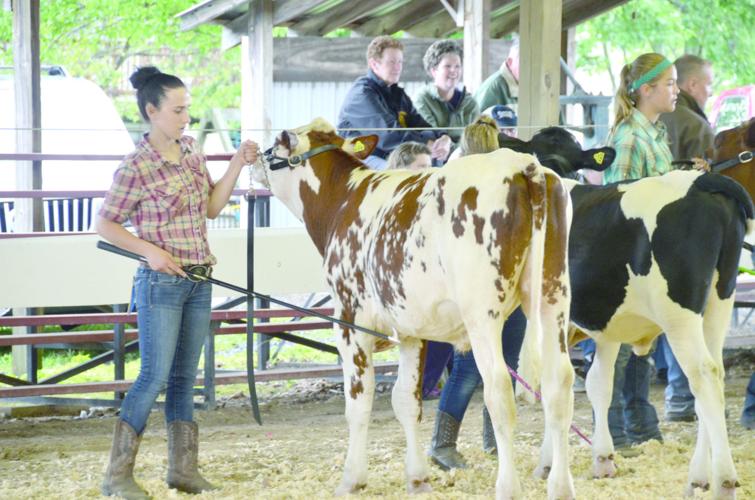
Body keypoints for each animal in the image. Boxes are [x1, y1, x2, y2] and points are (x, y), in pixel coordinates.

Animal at [255, 119, 580, 498]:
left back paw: (508, 487)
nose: (253, 159)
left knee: (499, 390)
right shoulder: (411, 330)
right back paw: (561, 485)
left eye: (275, 146)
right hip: (552, 295)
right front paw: (417, 477)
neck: (345, 198)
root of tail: (524, 166)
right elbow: (407, 402)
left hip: (482, 312)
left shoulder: (348, 321)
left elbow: (359, 402)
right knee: (559, 382)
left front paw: (352, 478)